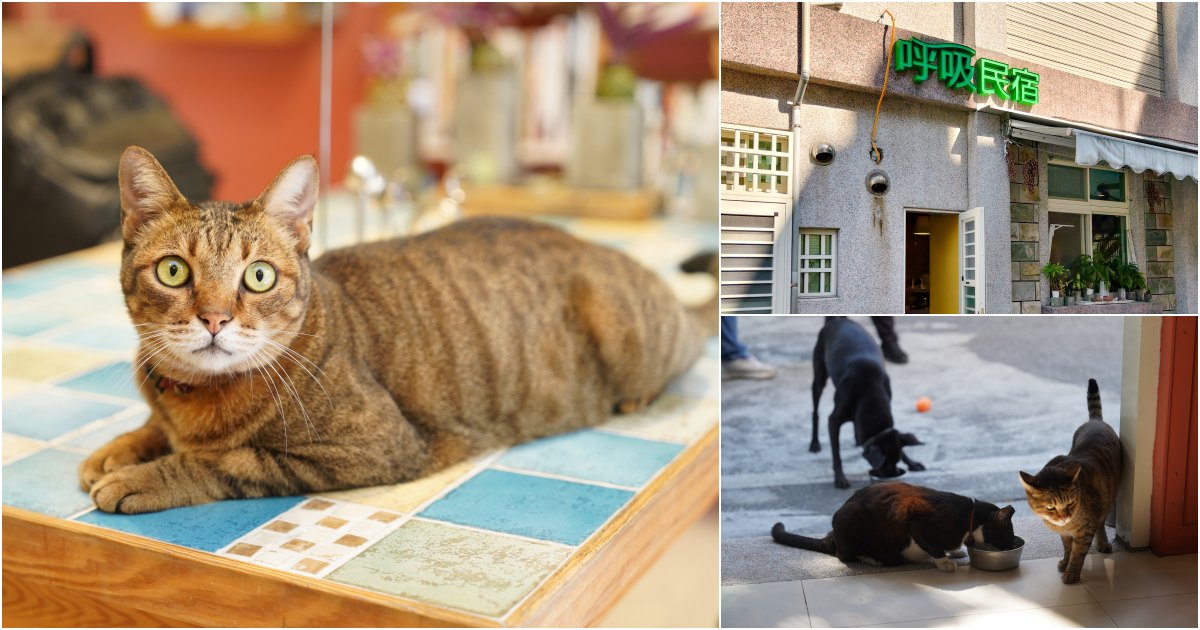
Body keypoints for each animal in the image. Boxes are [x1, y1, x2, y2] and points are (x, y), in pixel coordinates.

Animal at [82, 146, 710, 511]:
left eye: (258, 276)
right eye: (174, 271)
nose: (214, 318)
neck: (194, 398)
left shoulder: (376, 446)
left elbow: (227, 461)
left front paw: (142, 477)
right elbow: (155, 428)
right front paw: (119, 448)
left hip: (631, 333)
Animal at [768, 482, 1012, 568]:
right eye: (1008, 535)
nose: (1011, 546)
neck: (969, 517)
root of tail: (832, 534)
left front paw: (955, 552)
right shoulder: (916, 521)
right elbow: (932, 547)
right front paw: (945, 562)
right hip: (850, 523)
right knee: (843, 555)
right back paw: (873, 559)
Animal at [811, 316, 921, 489]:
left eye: (897, 460)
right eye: (885, 465)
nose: (894, 476)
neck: (870, 391)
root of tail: (837, 320)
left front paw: (912, 462)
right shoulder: (833, 420)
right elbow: (836, 453)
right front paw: (839, 477)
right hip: (819, 378)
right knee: (815, 411)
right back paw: (814, 444)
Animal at [1017, 376, 1118, 583]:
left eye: (1071, 502)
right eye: (1050, 506)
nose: (1064, 517)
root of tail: (1095, 421)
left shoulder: (1086, 530)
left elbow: (1078, 554)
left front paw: (1071, 572)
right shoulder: (1064, 533)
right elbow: (1067, 548)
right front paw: (1065, 562)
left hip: (1108, 498)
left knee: (1101, 523)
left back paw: (1103, 542)